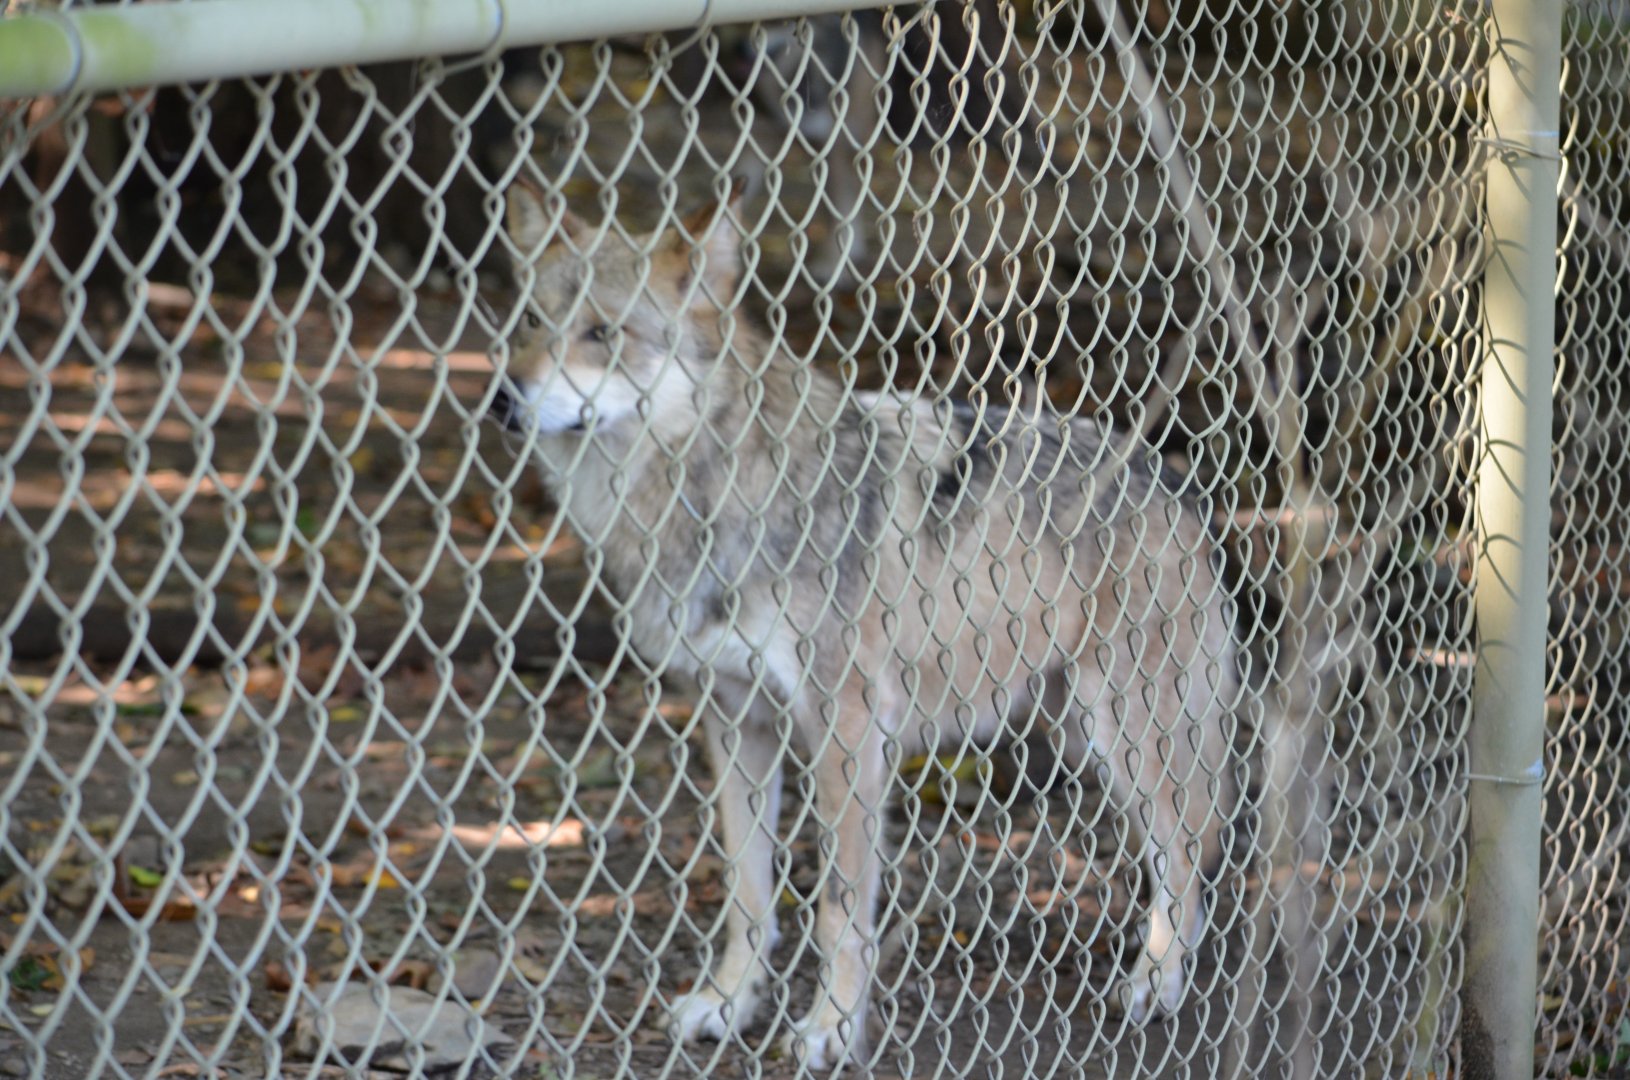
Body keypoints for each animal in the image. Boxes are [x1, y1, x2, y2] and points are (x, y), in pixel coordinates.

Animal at [490, 178, 1238, 1070]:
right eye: (530, 322)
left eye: (603, 331)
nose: (502, 399)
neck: (708, 492)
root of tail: (1175, 480)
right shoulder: (734, 722)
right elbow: (747, 892)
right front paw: (727, 1004)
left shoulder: (847, 734)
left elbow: (839, 908)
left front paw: (833, 1028)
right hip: (1076, 728)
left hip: (1123, 735)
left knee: (1189, 852)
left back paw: (1158, 982)